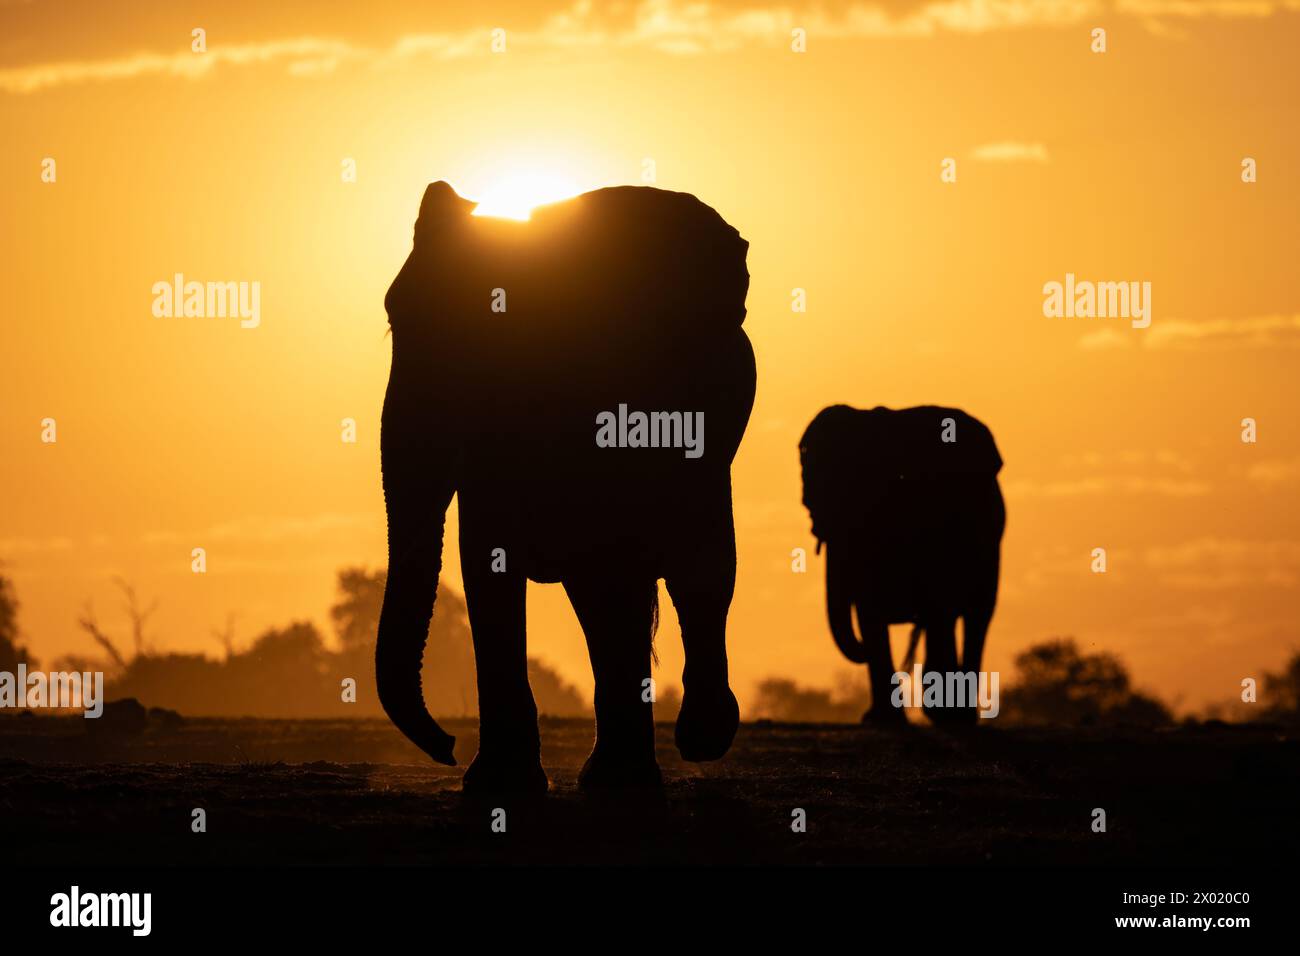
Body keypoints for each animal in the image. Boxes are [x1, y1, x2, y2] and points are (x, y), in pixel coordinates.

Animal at [376, 181, 756, 792]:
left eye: (489, 338)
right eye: (395, 323)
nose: (446, 747)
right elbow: (487, 554)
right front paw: (498, 786)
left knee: (696, 566)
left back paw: (694, 741)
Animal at [798, 405, 1005, 724]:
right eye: (809, 505)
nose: (860, 652)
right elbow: (868, 609)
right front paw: (881, 720)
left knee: (970, 616)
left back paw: (954, 717)